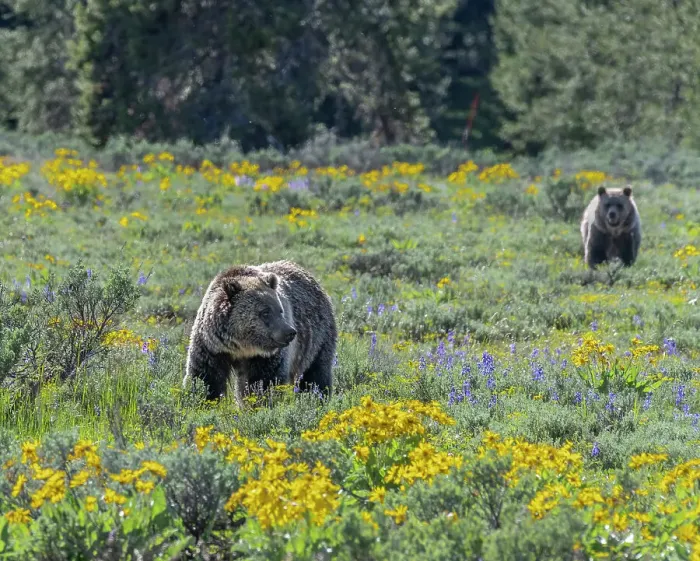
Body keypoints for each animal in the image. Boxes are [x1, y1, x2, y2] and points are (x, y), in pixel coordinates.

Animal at [183, 260, 337, 404]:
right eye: (265, 312)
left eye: (280, 310)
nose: (290, 332)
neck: (241, 346)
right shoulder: (211, 346)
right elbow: (205, 376)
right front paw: (204, 400)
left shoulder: (266, 356)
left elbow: (264, 381)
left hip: (317, 338)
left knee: (315, 373)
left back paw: (317, 397)